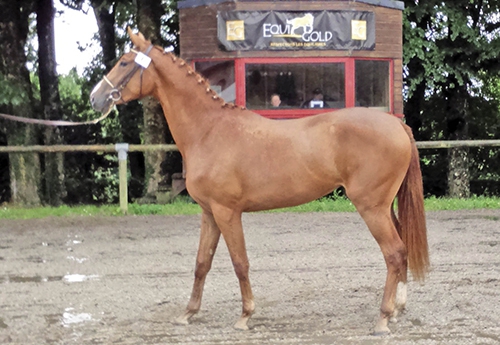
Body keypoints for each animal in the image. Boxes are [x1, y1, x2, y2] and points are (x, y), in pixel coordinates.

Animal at [91, 29, 430, 334]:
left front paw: (245, 316)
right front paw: (188, 313)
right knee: (401, 252)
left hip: (371, 208)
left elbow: (240, 262)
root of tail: (397, 126)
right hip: (385, 207)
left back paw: (383, 318)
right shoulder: (209, 213)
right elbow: (202, 262)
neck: (209, 130)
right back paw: (397, 310)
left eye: (124, 62)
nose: (96, 99)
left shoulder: (227, 212)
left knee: (394, 253)